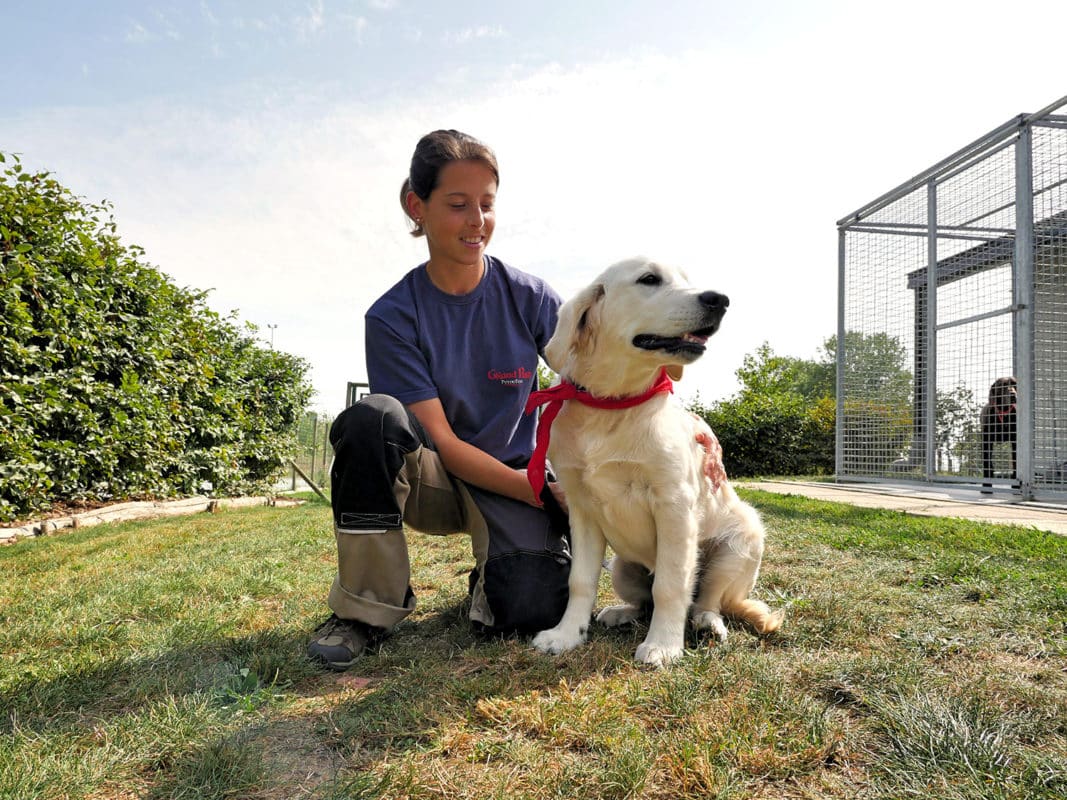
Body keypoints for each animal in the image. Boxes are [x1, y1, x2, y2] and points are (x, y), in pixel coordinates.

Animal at [529, 258, 781, 669]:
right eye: (649, 279)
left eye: (687, 280)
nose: (720, 299)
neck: (612, 406)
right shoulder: (581, 509)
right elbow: (580, 581)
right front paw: (566, 635)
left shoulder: (674, 505)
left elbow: (671, 584)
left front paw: (663, 645)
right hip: (622, 567)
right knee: (642, 602)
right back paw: (619, 613)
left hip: (738, 546)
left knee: (706, 600)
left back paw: (707, 624)